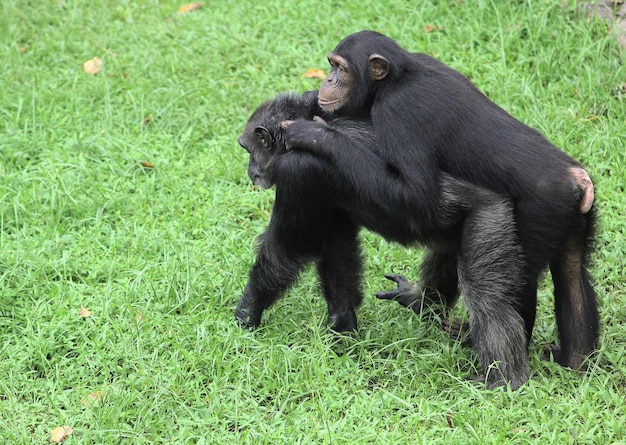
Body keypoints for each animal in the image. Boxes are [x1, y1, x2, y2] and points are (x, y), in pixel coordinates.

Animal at [286, 29, 596, 386]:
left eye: (341, 68)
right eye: (331, 65)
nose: (328, 78)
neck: (394, 79)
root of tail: (577, 179)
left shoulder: (398, 113)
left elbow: (416, 194)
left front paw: (316, 133)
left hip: (542, 210)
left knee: (519, 280)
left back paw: (498, 370)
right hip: (575, 217)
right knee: (573, 273)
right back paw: (574, 360)